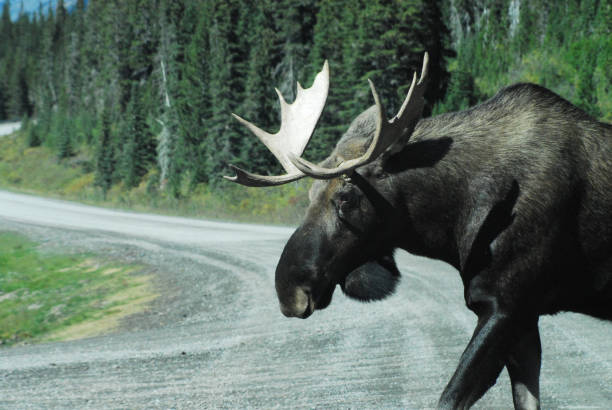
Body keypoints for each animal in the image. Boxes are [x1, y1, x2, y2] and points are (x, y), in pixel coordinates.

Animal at [226, 52, 612, 408]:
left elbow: (449, 398)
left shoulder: (507, 304)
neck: (451, 226)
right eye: (309, 195)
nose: (288, 290)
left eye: (346, 197)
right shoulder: (524, 318)